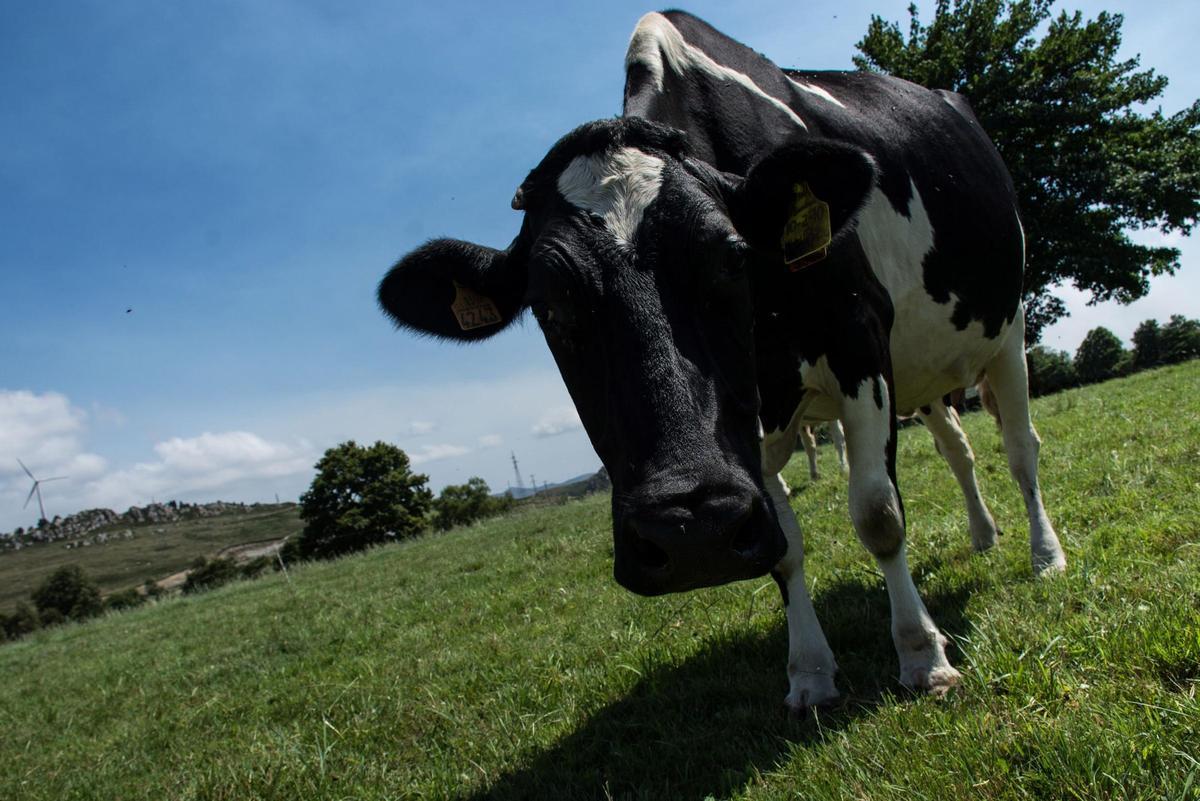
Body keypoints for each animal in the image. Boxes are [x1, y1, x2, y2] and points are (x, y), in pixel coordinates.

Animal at [378, 10, 1067, 713]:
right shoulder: (752, 431)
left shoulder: (858, 338)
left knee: (1020, 447)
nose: (692, 531)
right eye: (548, 305)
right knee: (959, 447)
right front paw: (810, 674)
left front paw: (923, 657)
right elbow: (783, 546)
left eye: (734, 258)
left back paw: (1045, 556)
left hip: (1008, 324)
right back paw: (983, 534)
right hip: (924, 368)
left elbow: (878, 512)